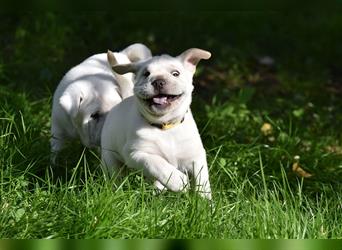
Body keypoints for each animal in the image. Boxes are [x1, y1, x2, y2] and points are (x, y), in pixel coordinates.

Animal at [100, 47, 211, 199]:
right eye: (146, 74)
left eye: (175, 73)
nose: (158, 81)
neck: (166, 127)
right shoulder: (135, 153)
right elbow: (157, 164)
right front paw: (178, 181)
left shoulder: (196, 156)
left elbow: (202, 181)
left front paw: (204, 202)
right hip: (110, 156)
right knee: (115, 174)